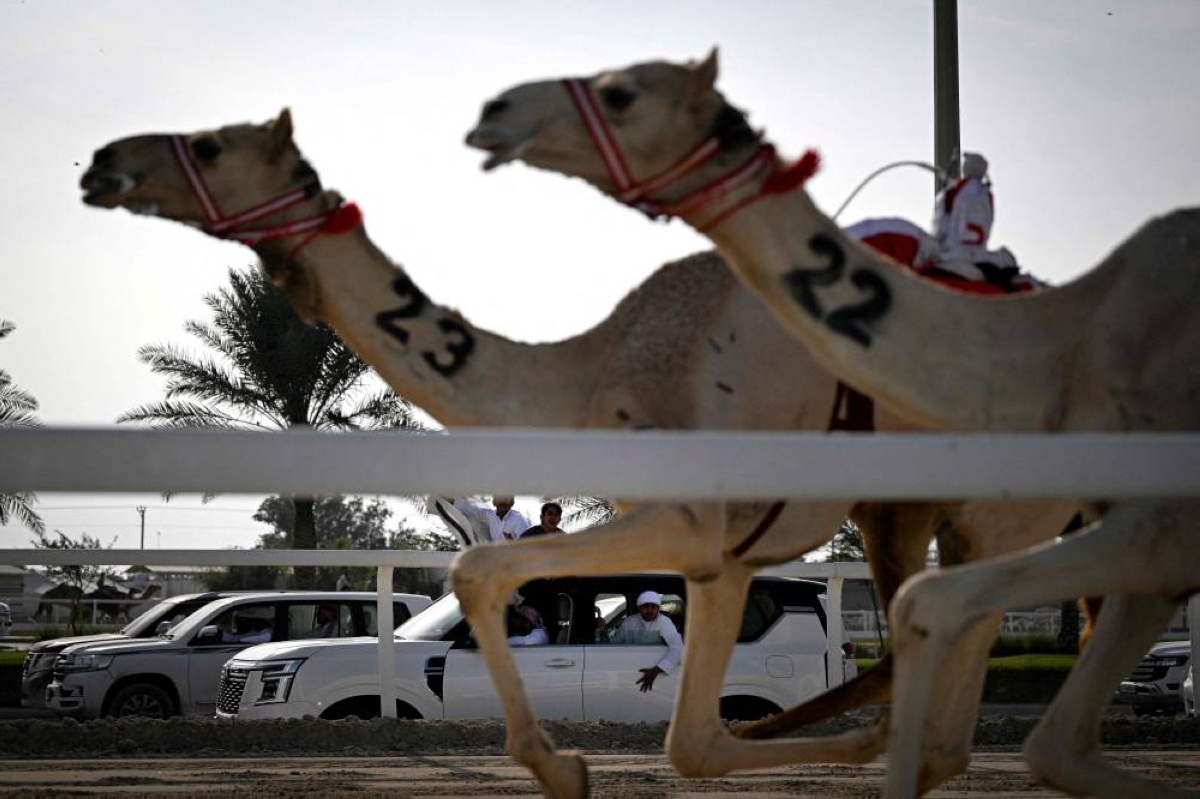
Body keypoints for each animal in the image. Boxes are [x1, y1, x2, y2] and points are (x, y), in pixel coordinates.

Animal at [78, 111, 1080, 798]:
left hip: (989, 506)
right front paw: (571, 763)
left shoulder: (697, 523)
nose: (99, 161)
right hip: (906, 510)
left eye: (210, 145)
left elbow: (499, 579)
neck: (595, 372)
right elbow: (689, 733)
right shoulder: (714, 544)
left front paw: (568, 764)